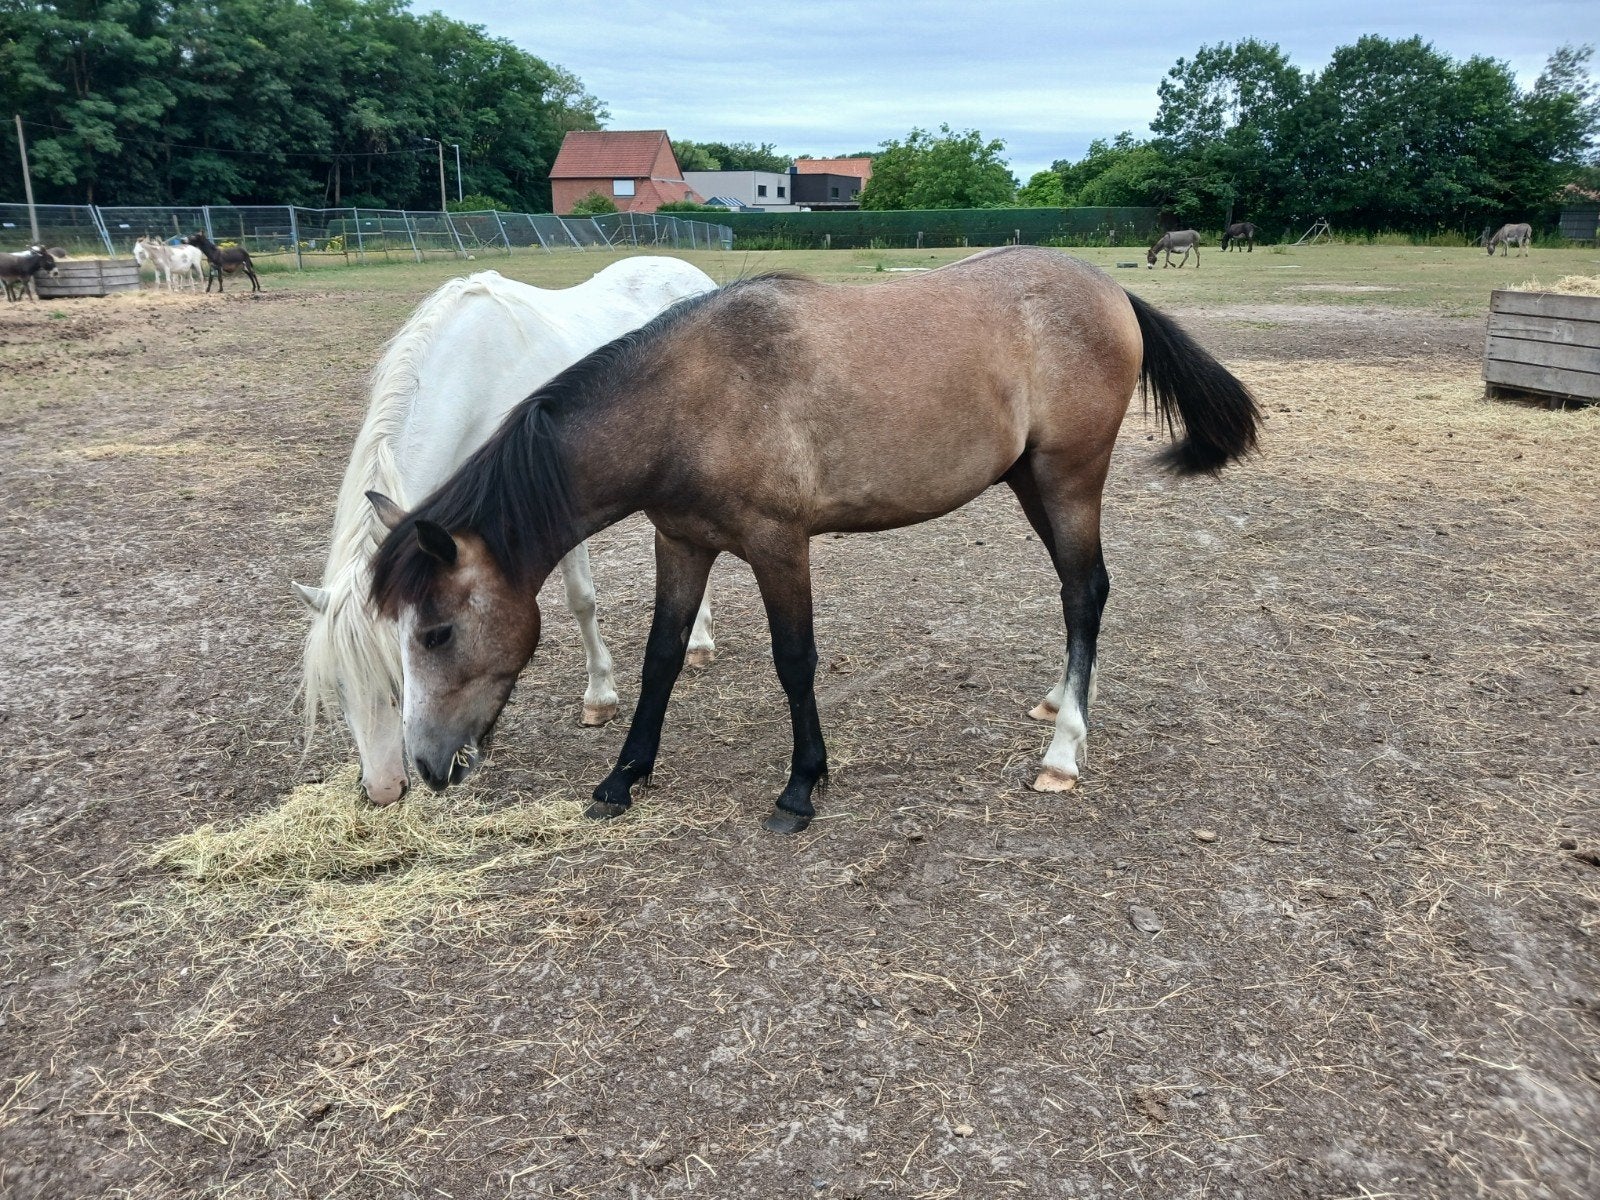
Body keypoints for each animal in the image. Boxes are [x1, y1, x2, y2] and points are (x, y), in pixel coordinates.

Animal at [296, 260, 719, 806]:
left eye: (397, 675)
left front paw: (600, 697)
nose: (384, 789)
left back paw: (701, 642)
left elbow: (581, 600)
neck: (472, 376)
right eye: (339, 688)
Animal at [366, 247, 1261, 834]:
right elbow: (662, 658)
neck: (690, 400)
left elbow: (794, 660)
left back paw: (1064, 752)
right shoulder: (681, 544)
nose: (428, 768)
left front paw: (802, 786)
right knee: (1082, 595)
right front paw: (624, 775)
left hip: (1071, 478)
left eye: (437, 632)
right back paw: (1064, 702)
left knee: (1085, 591)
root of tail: (1108, 288)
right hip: (1029, 481)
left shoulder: (779, 544)